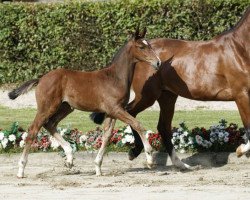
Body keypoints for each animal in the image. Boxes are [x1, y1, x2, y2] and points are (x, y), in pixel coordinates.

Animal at [8, 27, 161, 177]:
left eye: (150, 45)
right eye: (141, 47)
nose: (158, 62)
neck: (114, 78)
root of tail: (41, 79)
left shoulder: (112, 112)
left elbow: (107, 135)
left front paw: (98, 167)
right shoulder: (116, 109)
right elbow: (137, 124)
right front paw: (150, 158)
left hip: (66, 107)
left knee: (50, 124)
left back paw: (69, 158)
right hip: (47, 107)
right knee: (33, 130)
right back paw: (21, 169)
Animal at [91, 6, 249, 169]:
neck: (240, 48)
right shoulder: (241, 95)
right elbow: (248, 127)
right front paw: (240, 150)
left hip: (167, 97)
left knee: (163, 127)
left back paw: (180, 164)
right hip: (148, 96)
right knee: (131, 113)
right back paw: (136, 151)